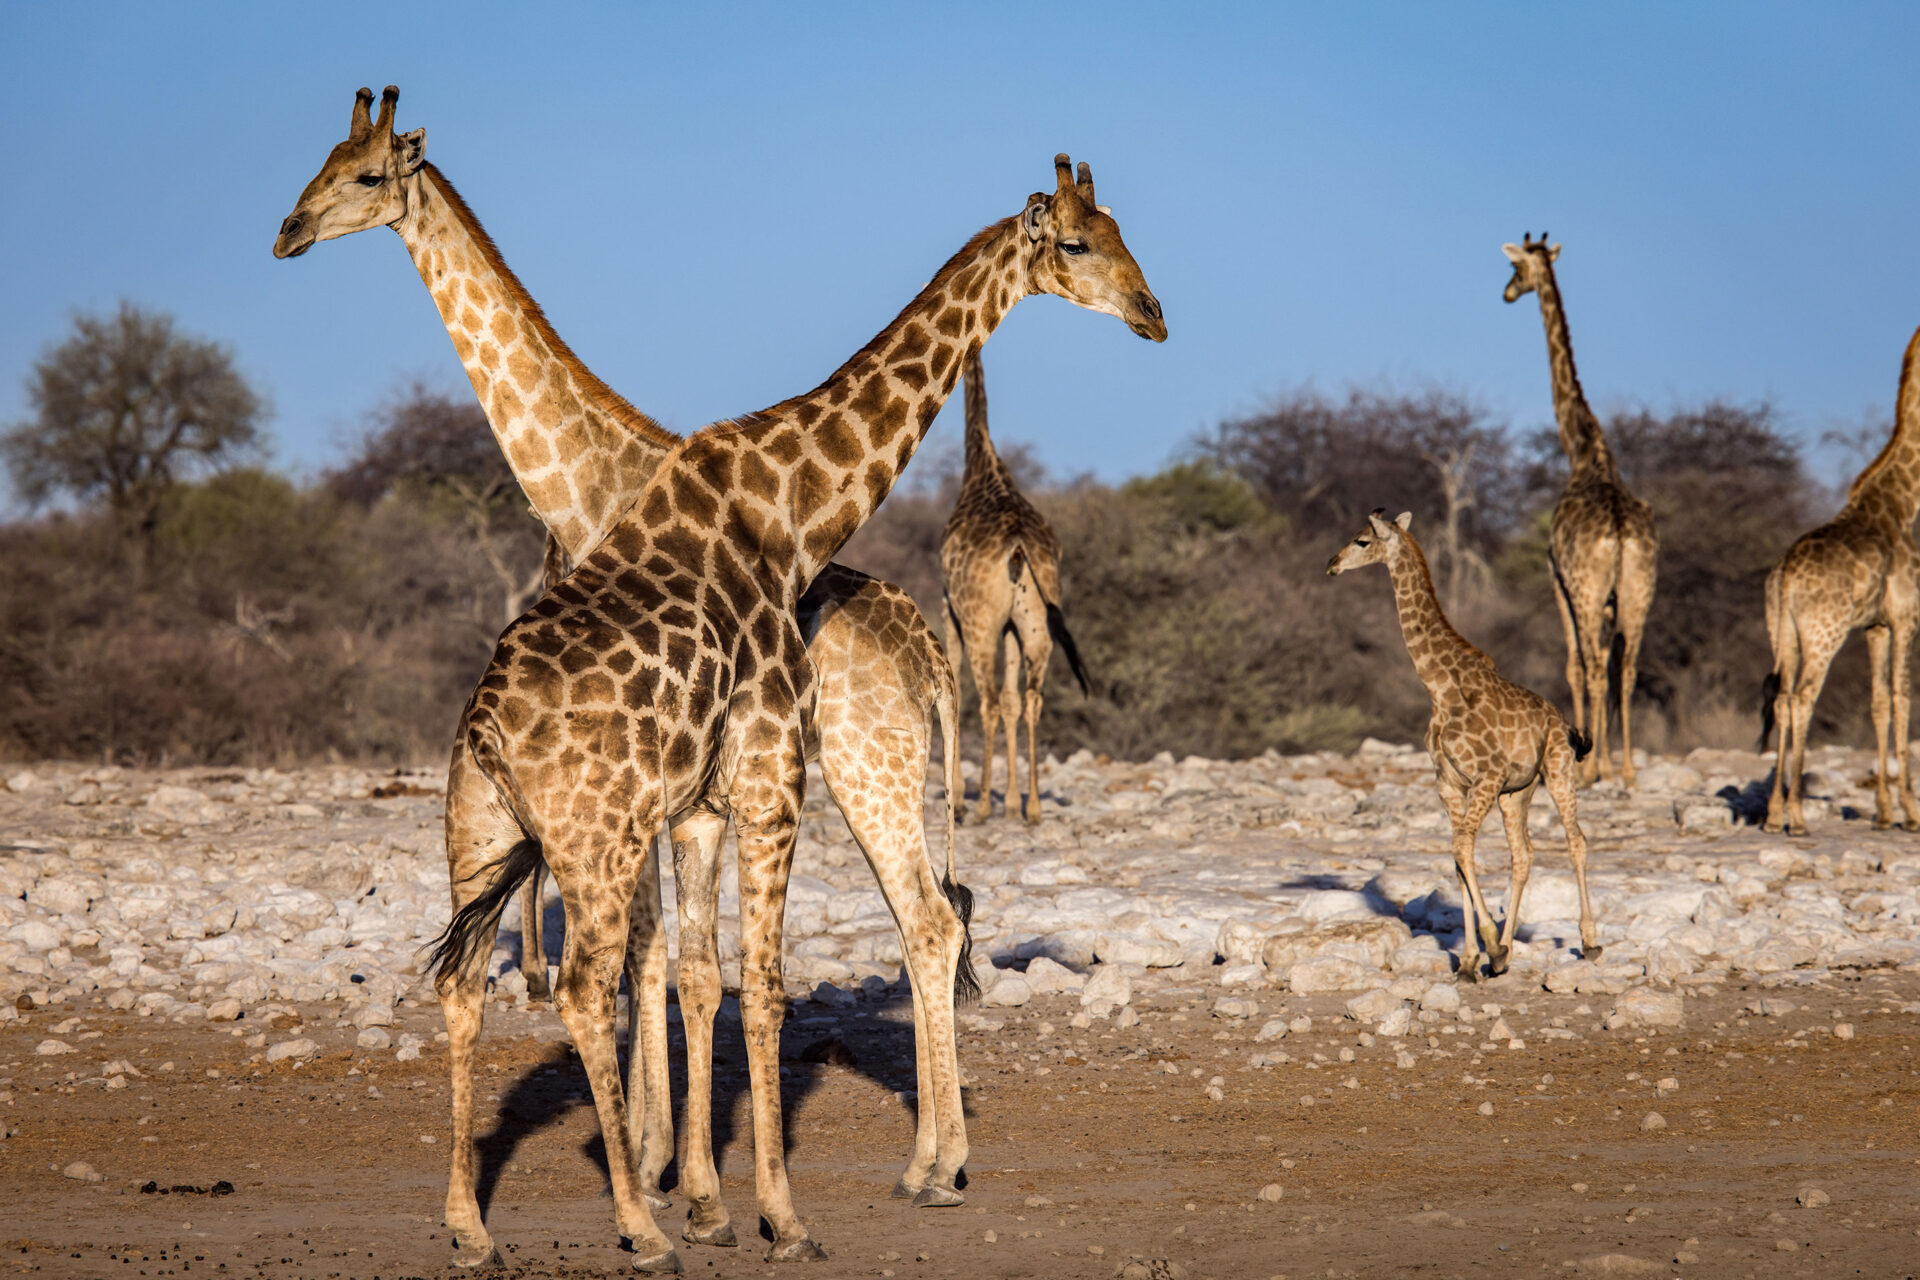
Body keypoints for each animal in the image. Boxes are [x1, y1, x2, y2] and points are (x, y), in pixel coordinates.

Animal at [271, 85, 982, 1245]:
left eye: (365, 174)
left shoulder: (663, 779)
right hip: (871, 775)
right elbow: (663, 958)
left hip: (864, 770)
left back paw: (935, 1163)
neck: (586, 480)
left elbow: (654, 959)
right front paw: (670, 1171)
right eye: (320, 161)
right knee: (936, 916)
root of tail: (925, 643)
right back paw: (932, 1162)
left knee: (928, 919)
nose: (287, 231)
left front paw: (668, 1175)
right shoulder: (662, 786)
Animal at [940, 349, 1089, 823]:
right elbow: (1012, 701)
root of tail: (1019, 546)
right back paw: (1034, 807)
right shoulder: (1011, 626)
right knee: (1032, 699)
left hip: (981, 622)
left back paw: (981, 806)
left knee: (985, 700)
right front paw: (1011, 800)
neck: (980, 461)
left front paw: (966, 797)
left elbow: (963, 689)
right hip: (1037, 624)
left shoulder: (950, 607)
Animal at [1327, 510, 1601, 980]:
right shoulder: (1450, 783)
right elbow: (1458, 858)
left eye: (1362, 540)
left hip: (1558, 769)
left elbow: (1461, 849)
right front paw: (1475, 958)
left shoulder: (1485, 777)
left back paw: (1588, 941)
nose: (1332, 564)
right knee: (1523, 854)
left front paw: (1487, 945)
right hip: (1518, 792)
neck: (1439, 687)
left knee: (1576, 840)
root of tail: (1562, 721)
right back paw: (1507, 952)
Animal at [1502, 234, 1658, 788]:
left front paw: (1594, 759)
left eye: (1515, 268)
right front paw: (1610, 759)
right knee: (1626, 667)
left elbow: (1574, 665)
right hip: (1639, 591)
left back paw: (1594, 768)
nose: (1507, 293)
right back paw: (1629, 769)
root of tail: (1620, 531)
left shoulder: (1558, 579)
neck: (1585, 452)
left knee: (1591, 664)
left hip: (1590, 590)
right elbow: (1611, 666)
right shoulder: (1610, 596)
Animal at [1762, 326, 1920, 836]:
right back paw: (1796, 816)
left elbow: (1878, 702)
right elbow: (1902, 699)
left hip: (1782, 632)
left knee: (1781, 698)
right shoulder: (1906, 619)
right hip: (1823, 633)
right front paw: (1910, 813)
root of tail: (1785, 575)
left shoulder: (1875, 626)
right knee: (1802, 699)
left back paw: (1773, 814)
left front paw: (1884, 812)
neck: (1903, 504)